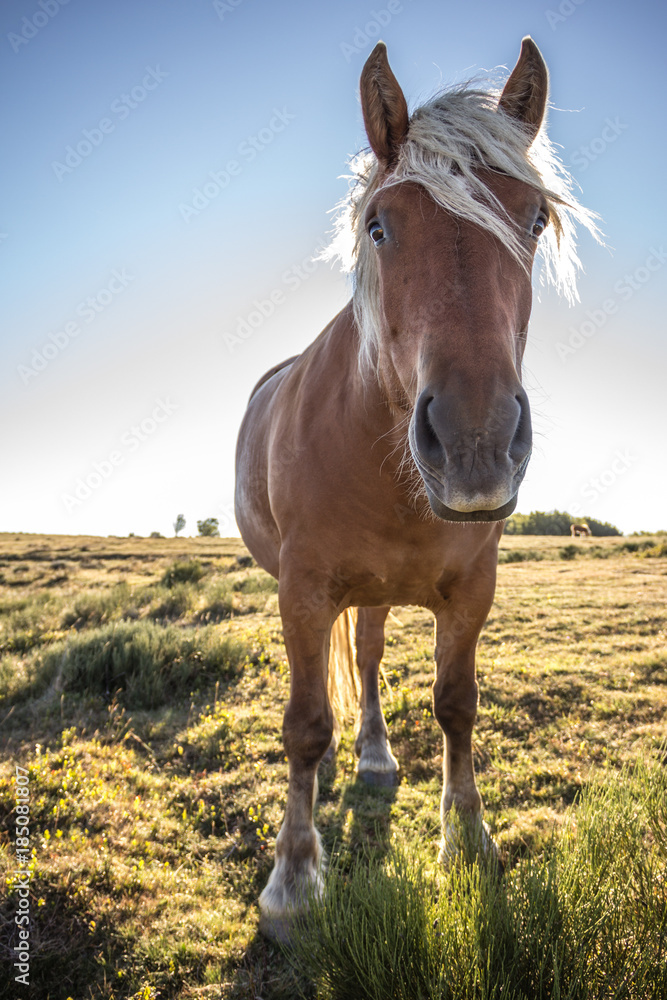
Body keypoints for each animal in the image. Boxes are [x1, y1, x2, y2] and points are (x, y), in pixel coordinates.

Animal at [235, 37, 597, 941]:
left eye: (531, 220)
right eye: (379, 225)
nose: (474, 442)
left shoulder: (471, 589)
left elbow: (455, 705)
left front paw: (467, 843)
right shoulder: (301, 590)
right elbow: (302, 725)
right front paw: (293, 881)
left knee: (365, 659)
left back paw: (371, 754)